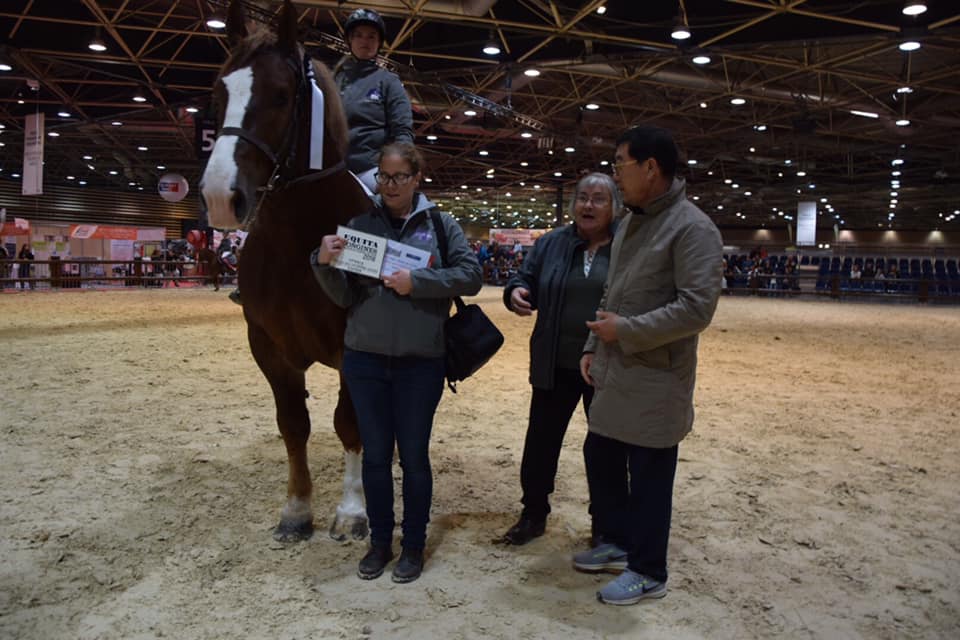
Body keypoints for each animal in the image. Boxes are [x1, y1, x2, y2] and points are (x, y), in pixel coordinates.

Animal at [200, 0, 372, 544]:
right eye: (218, 94)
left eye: (280, 94)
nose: (220, 197)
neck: (299, 244)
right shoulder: (268, 347)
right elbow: (293, 423)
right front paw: (296, 510)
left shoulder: (353, 347)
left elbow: (350, 422)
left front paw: (352, 511)